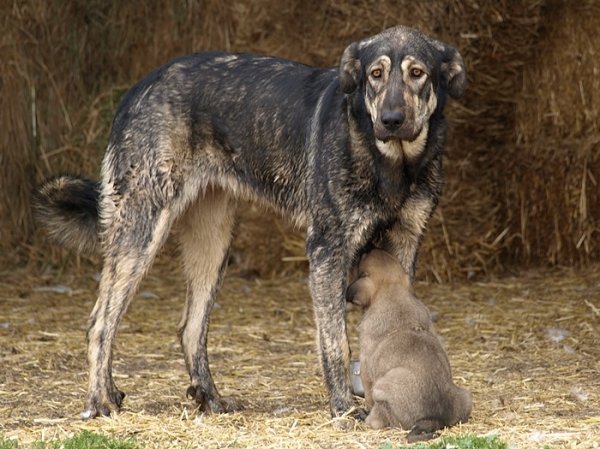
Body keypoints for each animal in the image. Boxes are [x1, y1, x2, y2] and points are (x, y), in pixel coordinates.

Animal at [32, 25, 466, 420]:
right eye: (376, 74)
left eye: (417, 73)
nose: (391, 119)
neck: (391, 163)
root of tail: (139, 88)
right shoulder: (328, 251)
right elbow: (336, 344)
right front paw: (343, 407)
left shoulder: (404, 244)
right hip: (142, 231)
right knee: (100, 322)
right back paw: (100, 401)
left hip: (214, 241)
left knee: (190, 327)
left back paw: (208, 399)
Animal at [346, 248, 474, 440]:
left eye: (362, 258)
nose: (367, 247)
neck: (392, 290)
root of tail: (433, 418)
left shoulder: (366, 366)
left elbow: (367, 394)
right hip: (466, 396)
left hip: (383, 387)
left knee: (377, 418)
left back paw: (363, 416)